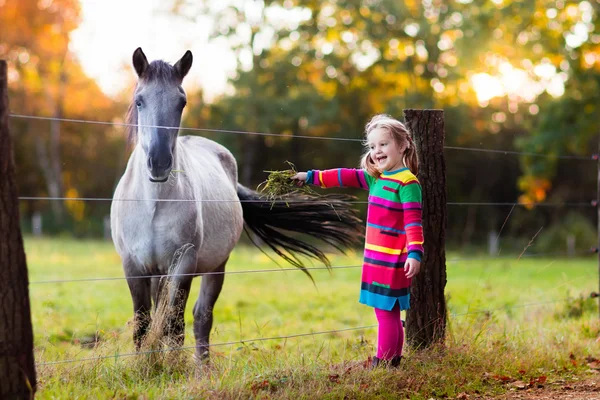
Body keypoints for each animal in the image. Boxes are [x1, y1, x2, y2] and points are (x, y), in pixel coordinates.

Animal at [110, 47, 364, 362]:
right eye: (139, 100)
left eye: (182, 102)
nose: (158, 162)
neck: (153, 205)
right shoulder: (133, 266)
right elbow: (143, 326)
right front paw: (145, 367)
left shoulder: (184, 264)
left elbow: (175, 324)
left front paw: (171, 368)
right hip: (160, 273)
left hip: (216, 266)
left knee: (201, 317)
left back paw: (202, 368)